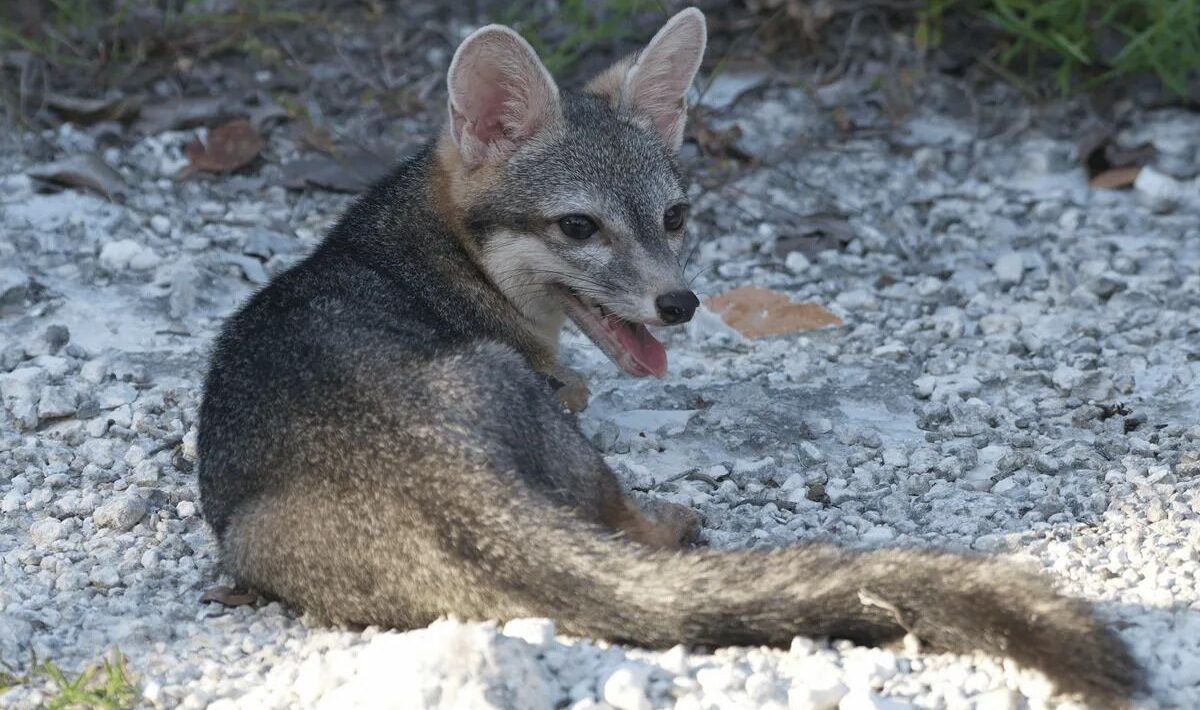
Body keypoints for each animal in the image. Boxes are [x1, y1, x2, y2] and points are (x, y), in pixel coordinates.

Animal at [198, 8, 1141, 707]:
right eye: (579, 227)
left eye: (676, 217)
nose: (679, 304)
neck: (425, 250)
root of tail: (438, 474)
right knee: (622, 517)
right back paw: (672, 524)